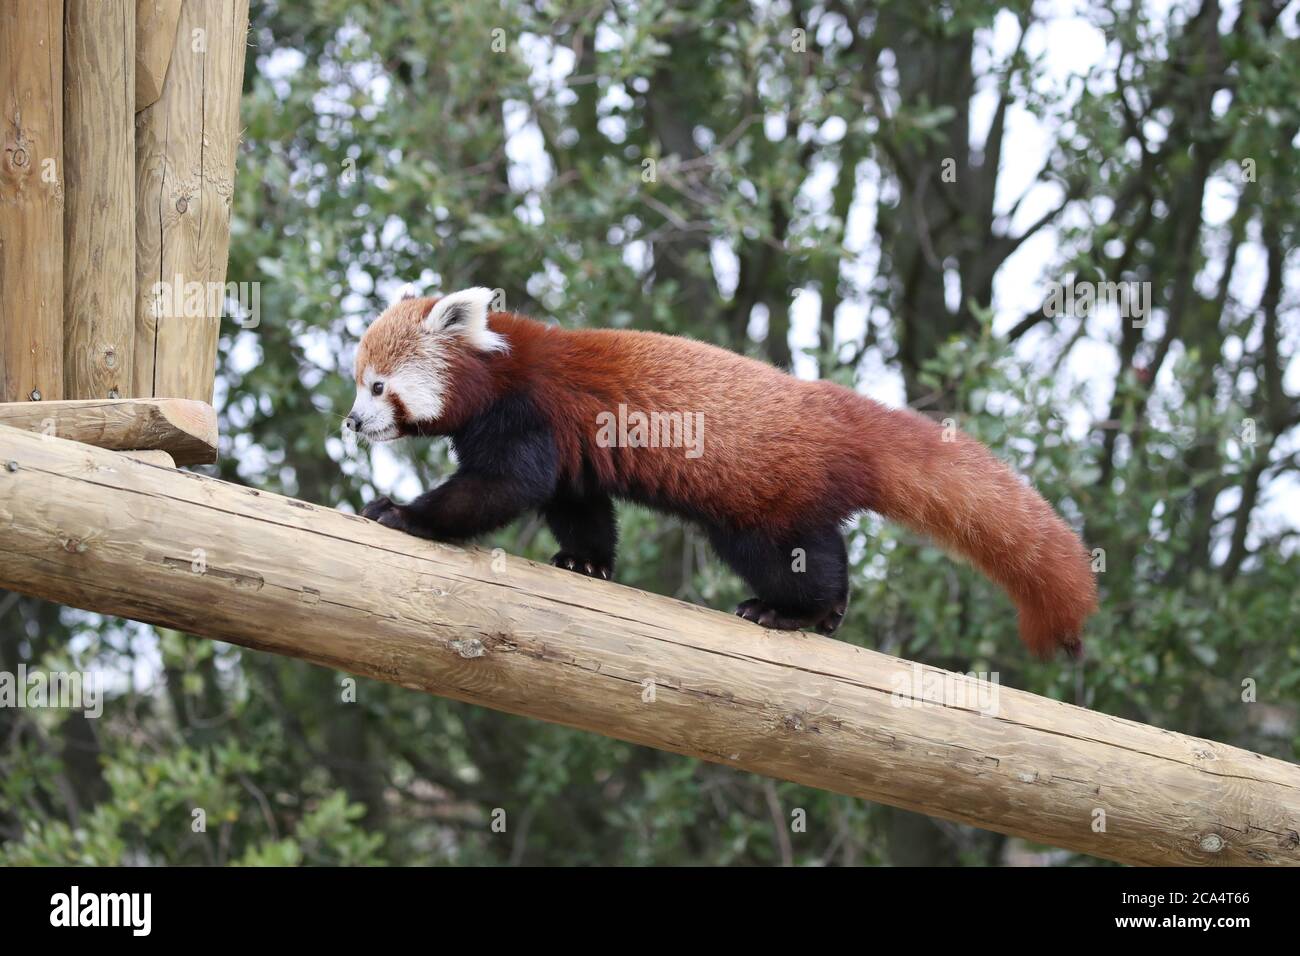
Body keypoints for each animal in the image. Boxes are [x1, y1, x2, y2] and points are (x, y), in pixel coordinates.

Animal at [345, 283, 1097, 658]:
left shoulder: (526, 414)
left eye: (378, 386)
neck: (501, 367)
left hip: (764, 499)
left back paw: (796, 610)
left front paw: (402, 513)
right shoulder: (569, 450)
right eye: (358, 384)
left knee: (793, 555)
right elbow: (575, 501)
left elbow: (502, 487)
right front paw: (586, 562)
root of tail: (840, 416)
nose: (352, 423)